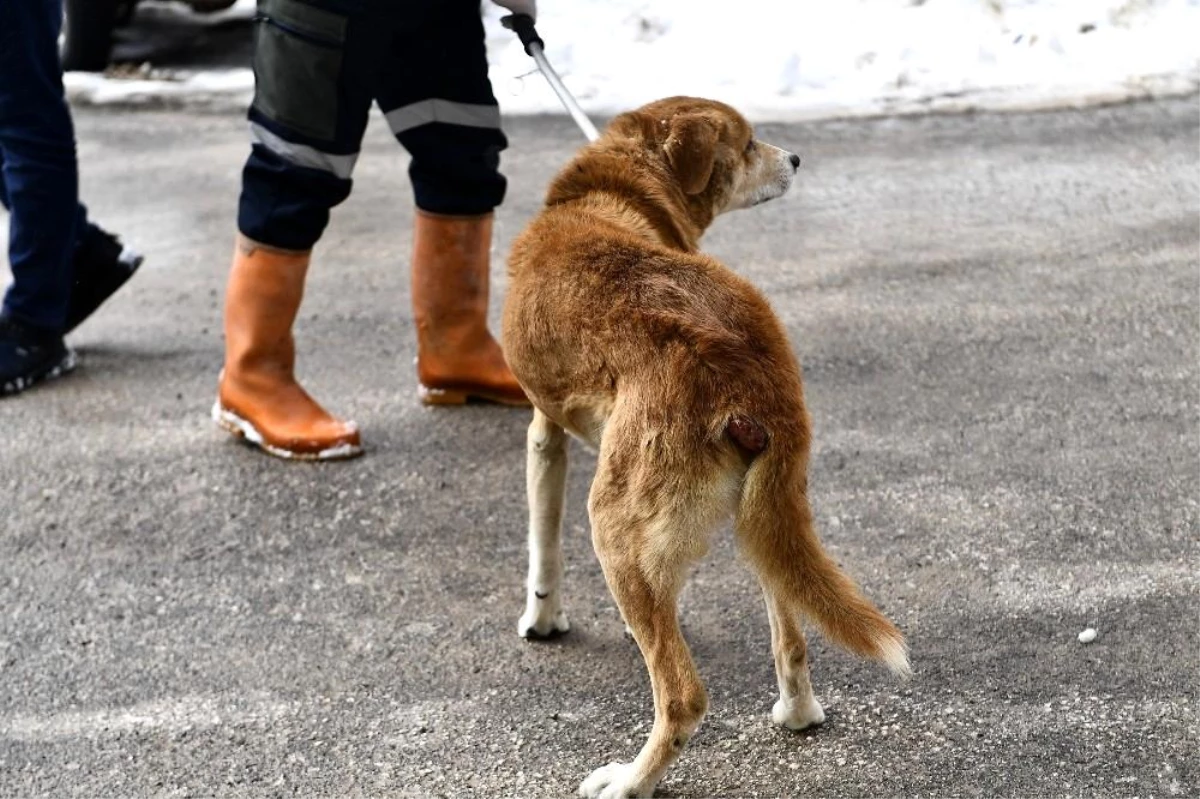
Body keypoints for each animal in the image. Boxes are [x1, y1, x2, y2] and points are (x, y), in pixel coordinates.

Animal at [499, 96, 907, 791]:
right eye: (747, 145)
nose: (796, 157)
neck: (615, 191)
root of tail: (741, 367)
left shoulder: (543, 433)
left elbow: (542, 546)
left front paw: (542, 620)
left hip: (616, 529)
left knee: (683, 696)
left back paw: (630, 781)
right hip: (766, 513)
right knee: (789, 633)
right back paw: (798, 712)